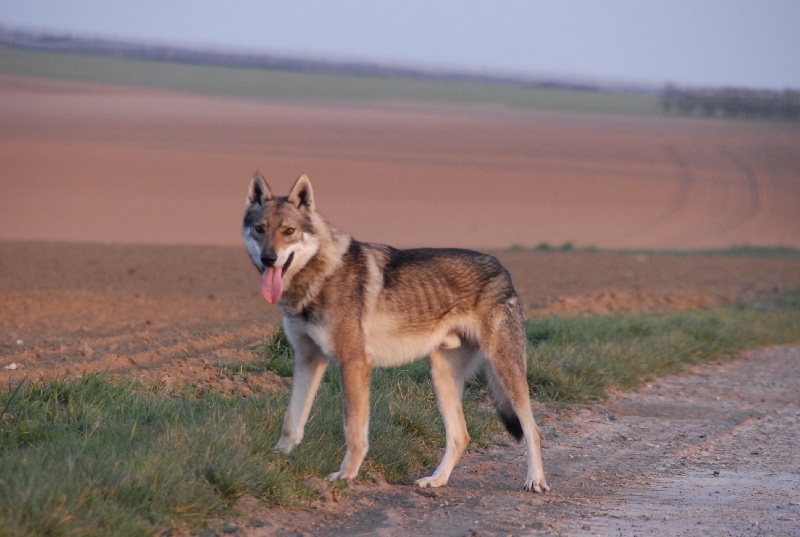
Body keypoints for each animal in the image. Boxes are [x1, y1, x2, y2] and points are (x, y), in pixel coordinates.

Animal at [241, 172, 548, 490]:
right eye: (260, 229)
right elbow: (292, 421)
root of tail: (502, 268)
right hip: (442, 377)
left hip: (505, 371)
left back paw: (535, 481)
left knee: (533, 430)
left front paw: (345, 476)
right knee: (461, 436)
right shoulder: (307, 360)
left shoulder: (353, 362)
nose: (268, 259)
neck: (318, 276)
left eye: (289, 231)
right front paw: (275, 460)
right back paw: (436, 481)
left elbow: (353, 430)